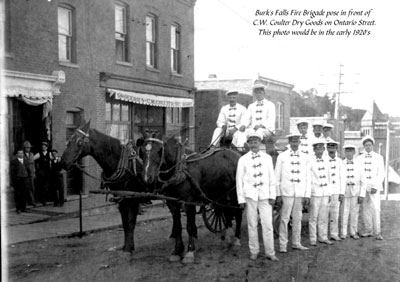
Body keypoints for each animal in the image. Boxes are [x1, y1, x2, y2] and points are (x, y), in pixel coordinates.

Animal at [61, 120, 149, 252]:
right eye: (69, 140)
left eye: (80, 142)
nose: (63, 162)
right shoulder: (121, 198)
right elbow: (125, 223)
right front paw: (127, 246)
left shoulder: (132, 199)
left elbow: (130, 223)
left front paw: (129, 248)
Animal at [142, 135, 242, 264]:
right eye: (142, 151)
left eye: (160, 151)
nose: (147, 177)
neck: (179, 169)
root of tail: (237, 154)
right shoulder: (172, 203)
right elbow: (177, 226)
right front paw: (177, 251)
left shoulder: (189, 202)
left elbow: (189, 226)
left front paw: (190, 252)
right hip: (221, 194)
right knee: (226, 211)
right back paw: (227, 236)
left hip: (235, 193)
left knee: (238, 213)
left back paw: (236, 240)